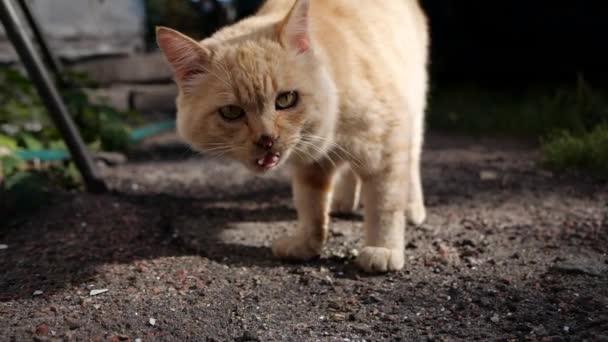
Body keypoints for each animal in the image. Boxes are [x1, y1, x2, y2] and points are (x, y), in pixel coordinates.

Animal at [159, 0, 430, 272]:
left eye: (286, 99)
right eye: (231, 112)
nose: (266, 139)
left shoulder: (385, 140)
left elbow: (384, 203)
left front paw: (383, 249)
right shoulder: (308, 164)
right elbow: (310, 205)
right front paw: (305, 245)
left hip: (414, 115)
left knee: (412, 166)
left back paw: (412, 209)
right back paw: (343, 202)